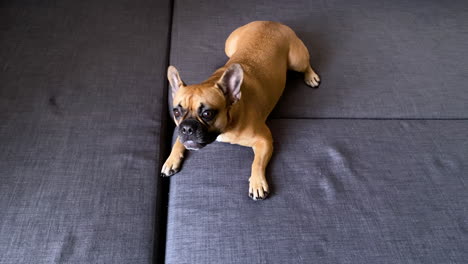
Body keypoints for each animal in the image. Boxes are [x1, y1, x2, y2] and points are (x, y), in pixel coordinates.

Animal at [162, 21, 322, 200]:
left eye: (207, 114)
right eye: (176, 112)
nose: (187, 128)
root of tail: (271, 22)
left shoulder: (264, 140)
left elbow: (257, 163)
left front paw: (257, 183)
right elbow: (178, 140)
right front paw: (171, 159)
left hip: (296, 60)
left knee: (306, 64)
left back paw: (311, 76)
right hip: (229, 45)